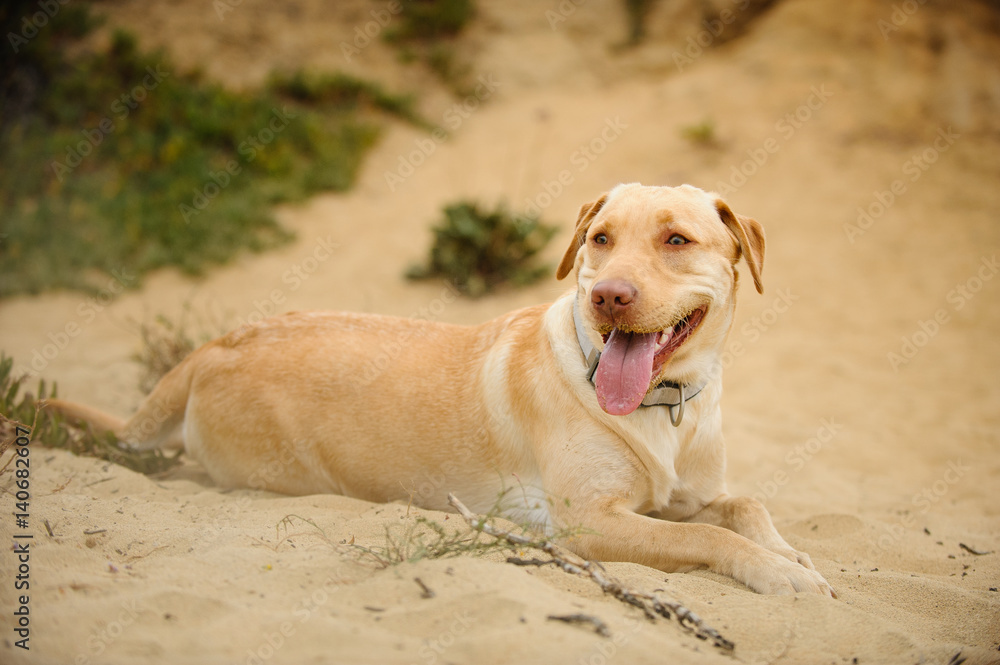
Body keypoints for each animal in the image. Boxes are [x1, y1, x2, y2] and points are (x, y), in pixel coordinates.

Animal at [50, 183, 836, 596]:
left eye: (677, 240)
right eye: (601, 239)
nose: (608, 296)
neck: (665, 403)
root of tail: (215, 343)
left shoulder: (685, 491)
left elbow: (739, 505)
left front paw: (788, 553)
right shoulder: (590, 524)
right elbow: (706, 533)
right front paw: (779, 571)